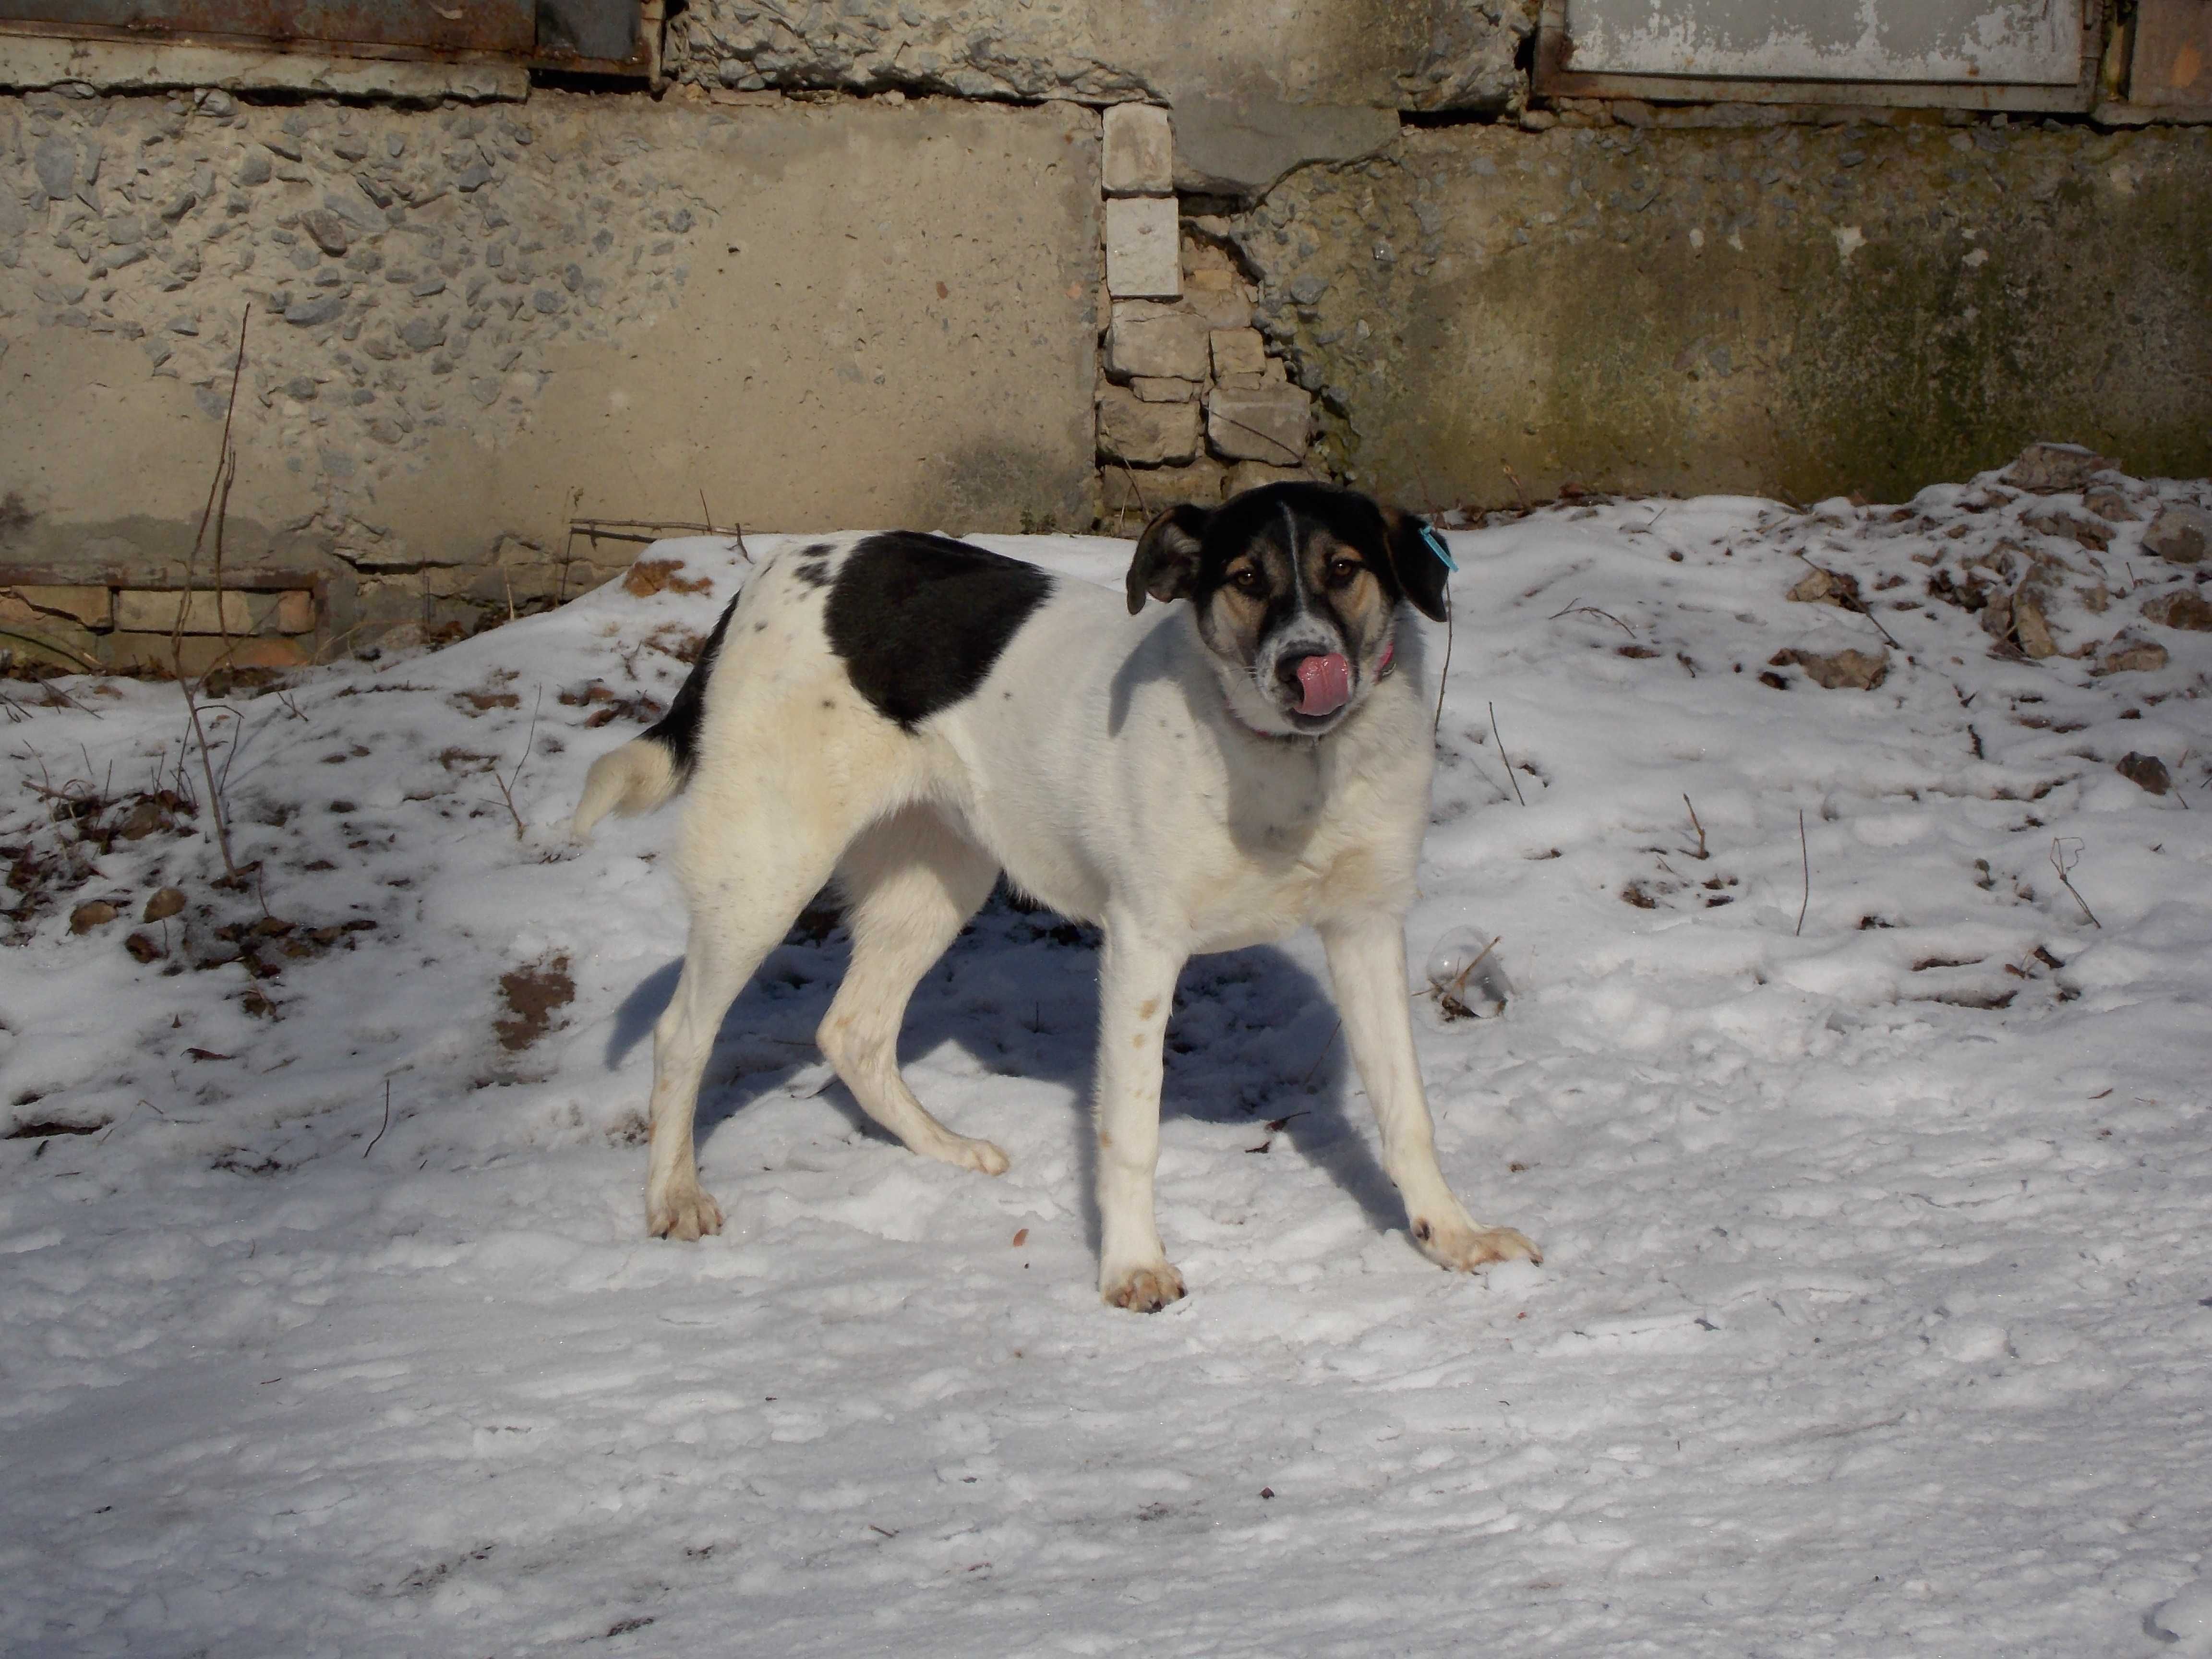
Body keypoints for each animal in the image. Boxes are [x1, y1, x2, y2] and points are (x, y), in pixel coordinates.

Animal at [570, 480, 1539, 1309]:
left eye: (1343, 569)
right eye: (1244, 579)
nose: (1307, 665)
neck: (1290, 765)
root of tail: (770, 568)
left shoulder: (1368, 928)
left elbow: (1407, 1112)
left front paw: (1450, 1234)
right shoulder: (1143, 946)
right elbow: (1132, 1132)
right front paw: (1133, 1268)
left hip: (941, 877)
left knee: (852, 1032)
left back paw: (947, 1148)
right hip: (767, 866)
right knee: (684, 1033)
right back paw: (673, 1196)